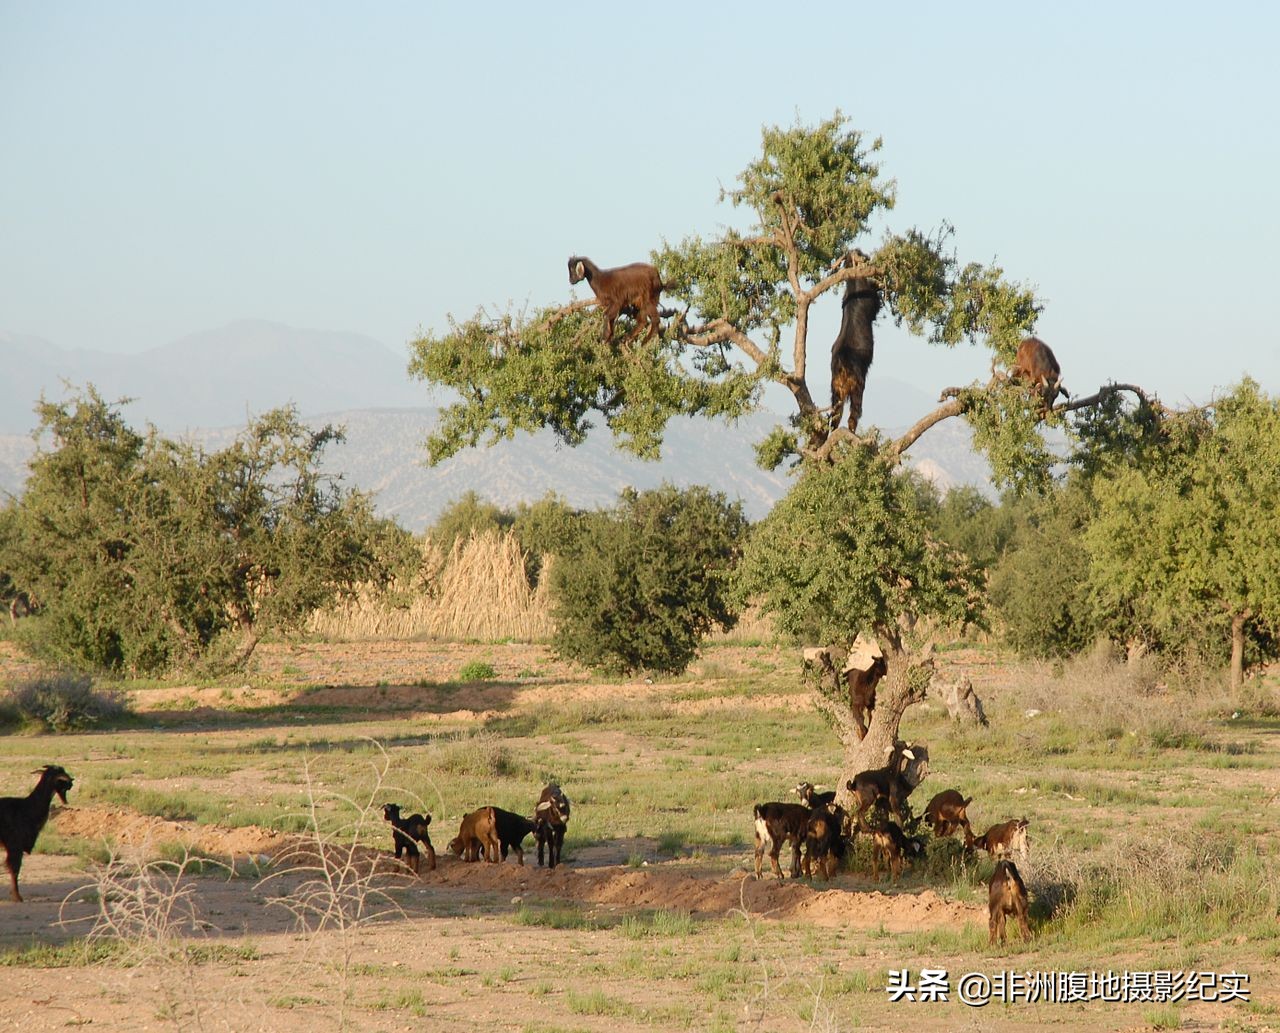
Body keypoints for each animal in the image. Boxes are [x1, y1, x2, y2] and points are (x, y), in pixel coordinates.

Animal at [1, 762, 73, 901]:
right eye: (61, 779)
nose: (71, 783)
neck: (27, 807)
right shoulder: (15, 844)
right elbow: (15, 869)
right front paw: (17, 897)